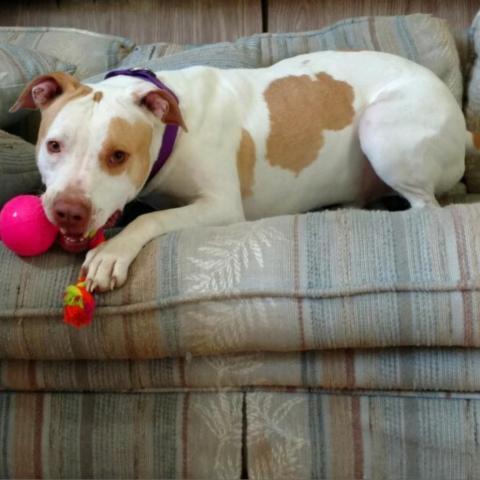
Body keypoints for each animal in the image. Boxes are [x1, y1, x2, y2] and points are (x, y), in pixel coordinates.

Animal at [9, 50, 474, 290]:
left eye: (118, 155)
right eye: (53, 145)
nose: (68, 211)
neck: (170, 127)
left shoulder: (220, 206)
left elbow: (151, 220)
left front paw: (111, 253)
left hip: (381, 128)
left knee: (426, 208)